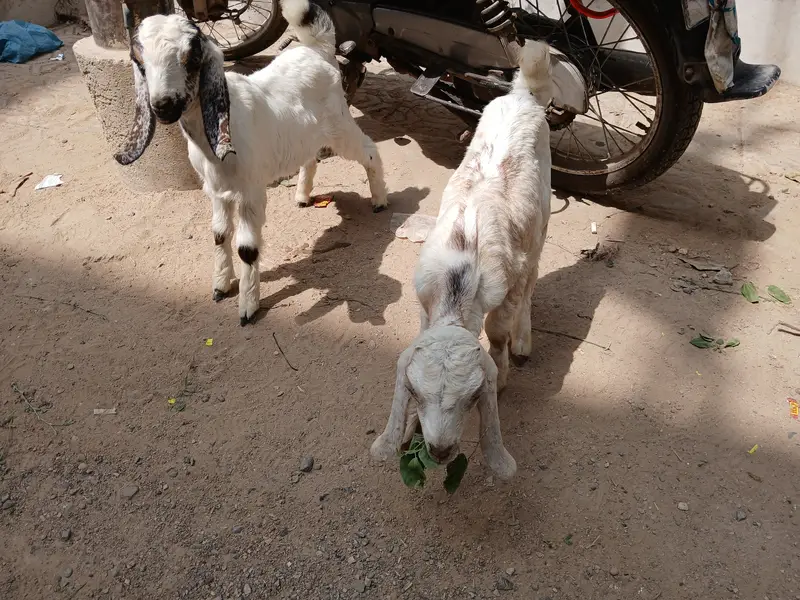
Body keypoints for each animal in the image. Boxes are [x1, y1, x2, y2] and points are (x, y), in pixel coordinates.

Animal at [115, 0, 388, 325]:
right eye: (140, 62)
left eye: (191, 58)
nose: (163, 106)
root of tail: (318, 49)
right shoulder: (216, 191)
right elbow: (219, 234)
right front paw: (220, 286)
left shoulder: (250, 192)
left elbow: (246, 248)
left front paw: (248, 307)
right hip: (307, 134)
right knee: (310, 158)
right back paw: (302, 196)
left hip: (340, 124)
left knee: (368, 150)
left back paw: (380, 201)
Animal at [370, 42, 553, 480]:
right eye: (415, 393)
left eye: (472, 398)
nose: (439, 451)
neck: (458, 281)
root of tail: (522, 94)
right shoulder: (424, 298)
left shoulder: (505, 287)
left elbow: (497, 331)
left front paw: (502, 377)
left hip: (543, 210)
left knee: (535, 270)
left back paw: (525, 341)